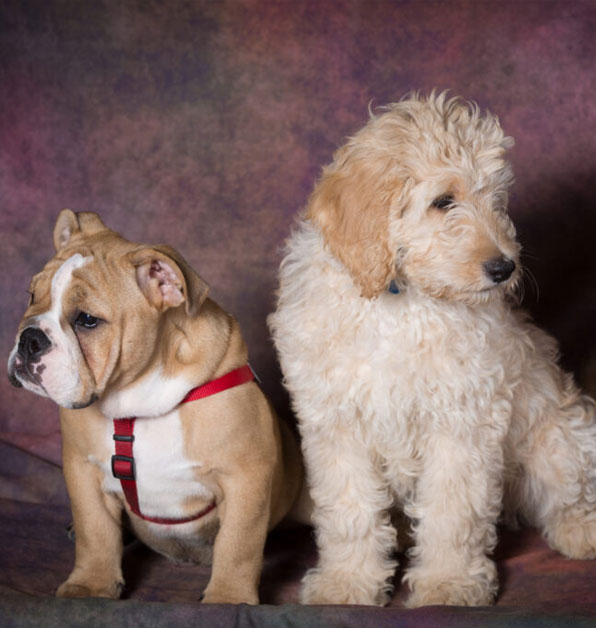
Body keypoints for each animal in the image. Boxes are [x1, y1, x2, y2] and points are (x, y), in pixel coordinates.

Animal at [8, 211, 304, 604]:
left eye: (87, 320)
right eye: (31, 296)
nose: (29, 338)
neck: (137, 403)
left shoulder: (246, 476)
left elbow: (238, 544)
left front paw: (228, 597)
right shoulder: (82, 469)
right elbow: (94, 532)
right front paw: (91, 586)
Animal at [270, 93, 596, 608]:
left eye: (496, 200)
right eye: (444, 201)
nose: (505, 268)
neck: (400, 299)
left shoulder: (461, 422)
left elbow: (452, 512)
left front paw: (448, 584)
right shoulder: (336, 424)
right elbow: (349, 511)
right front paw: (347, 582)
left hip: (559, 439)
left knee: (569, 493)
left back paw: (581, 532)